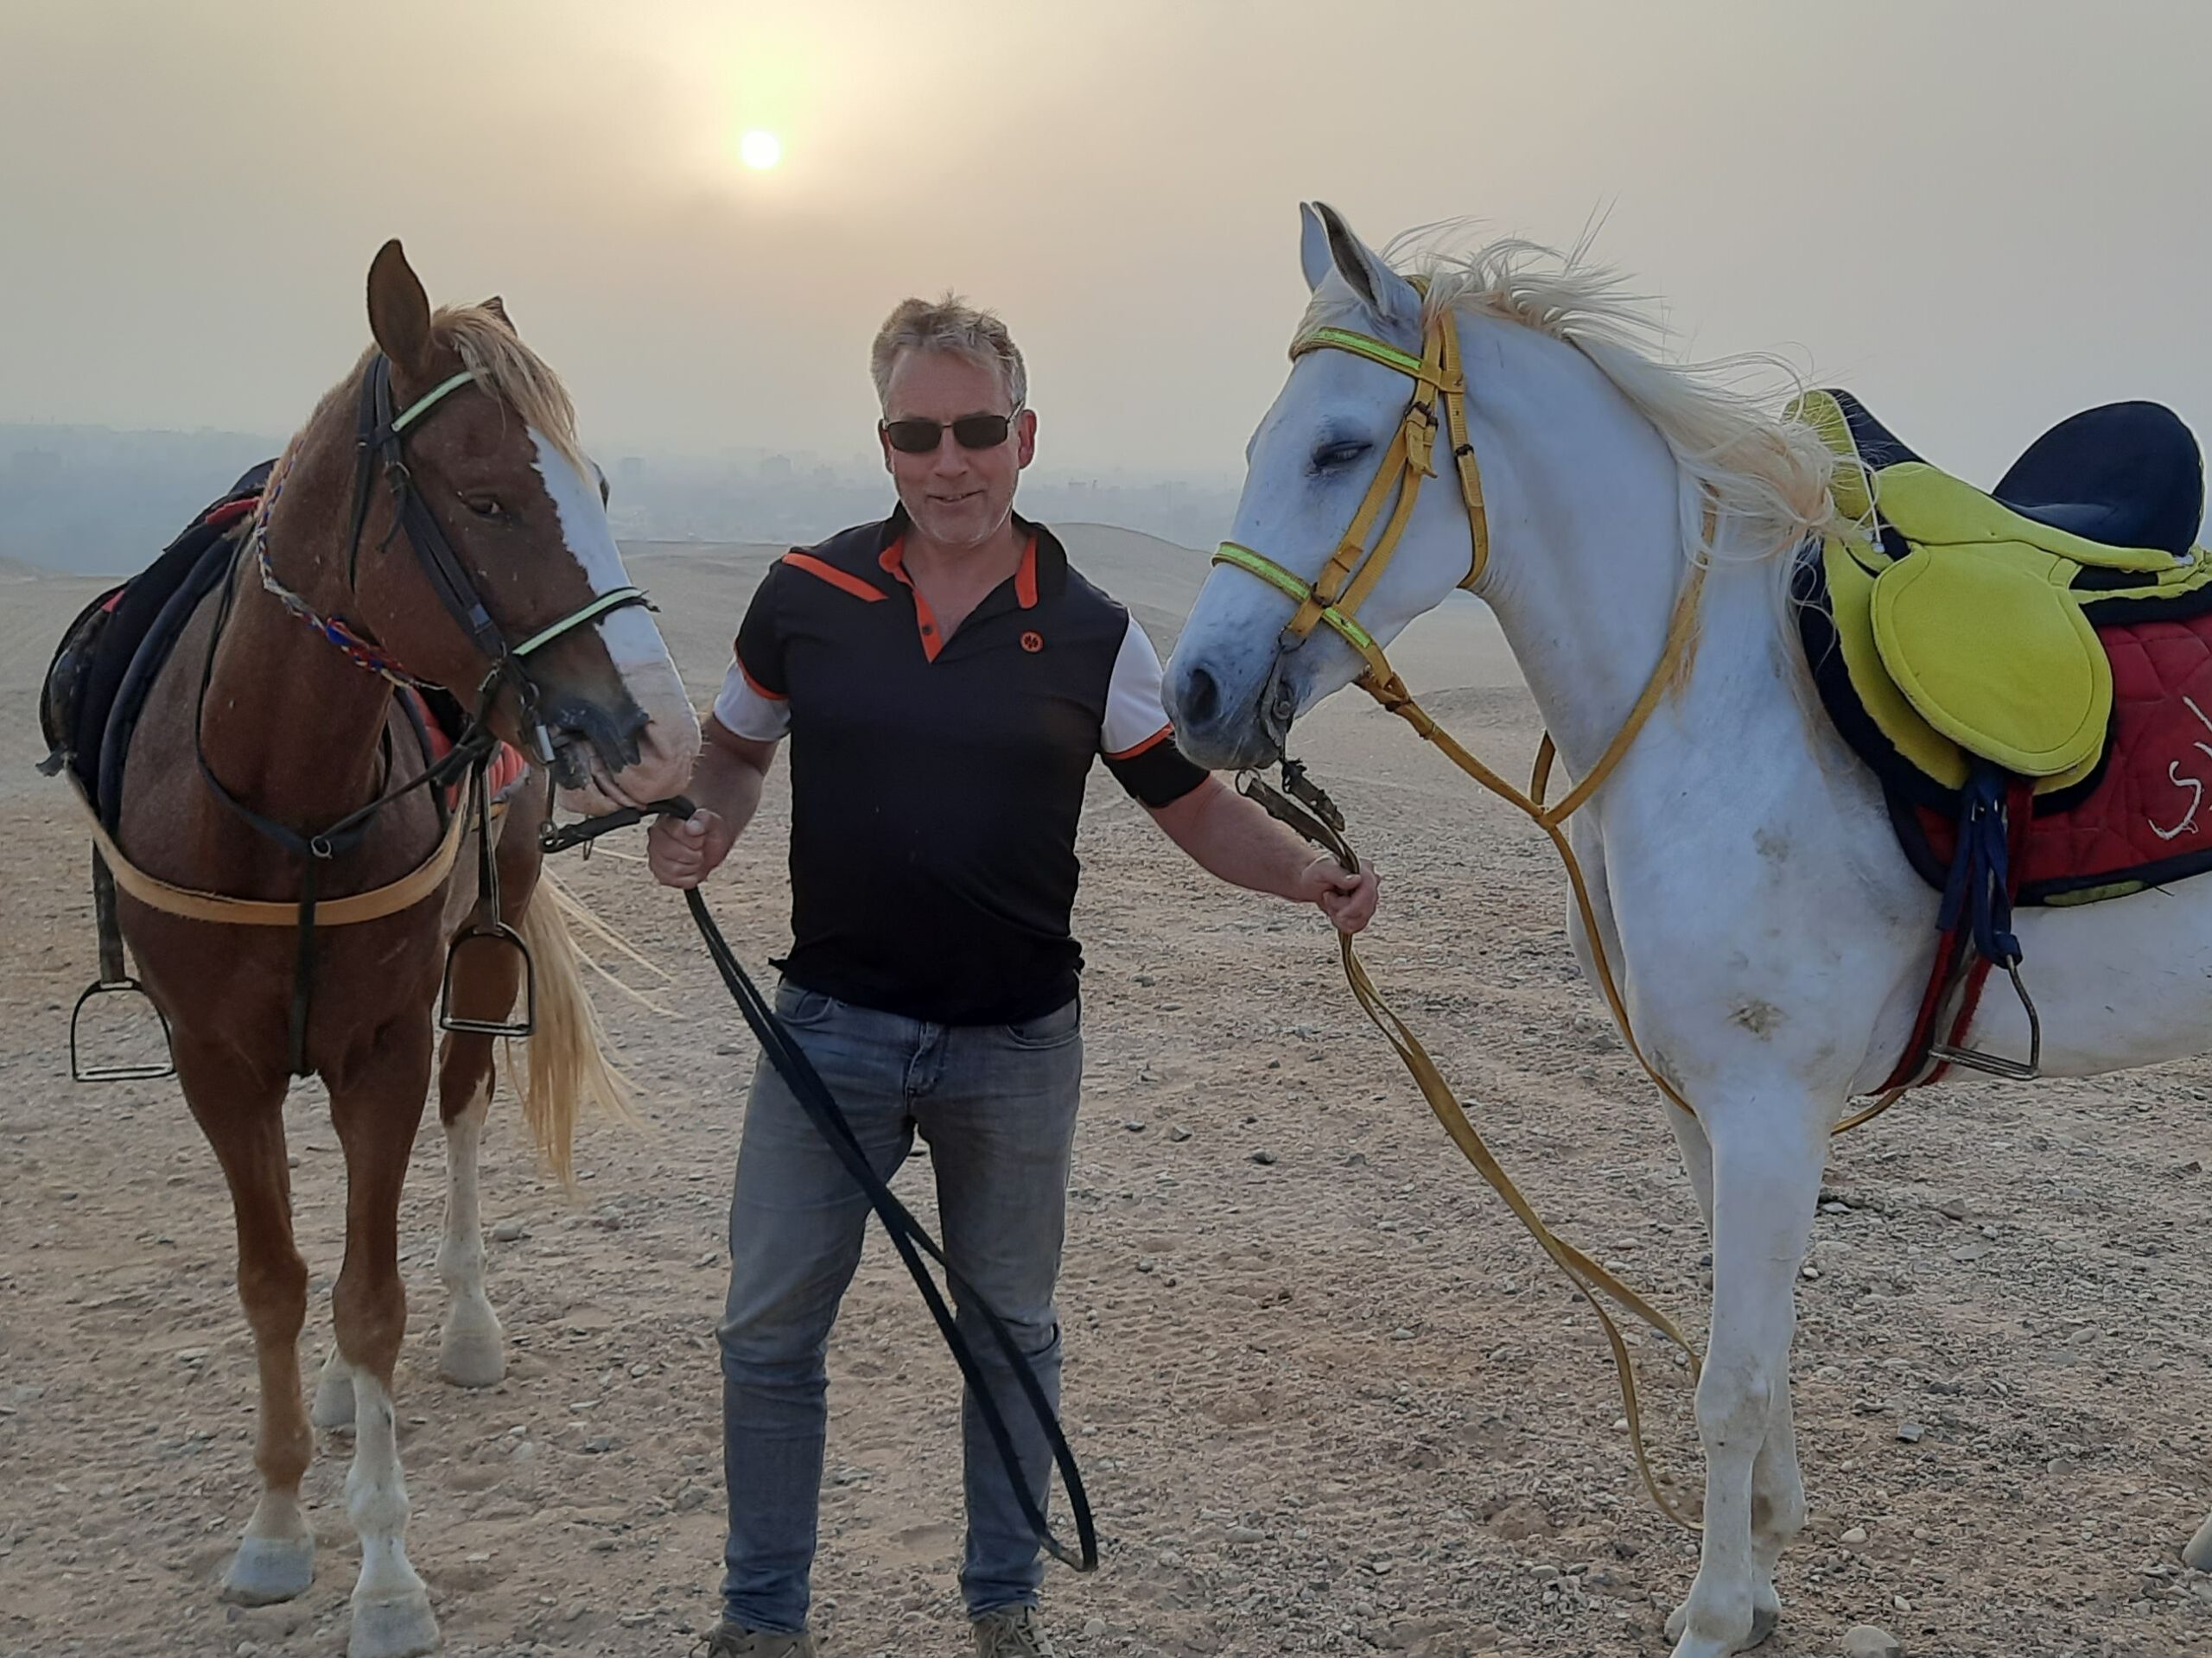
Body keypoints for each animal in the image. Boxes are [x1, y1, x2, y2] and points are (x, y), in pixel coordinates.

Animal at [54, 242, 700, 1658]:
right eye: (490, 497)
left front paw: (389, 1576)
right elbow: (275, 1282)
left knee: (460, 1119)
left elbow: (370, 1295)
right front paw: (276, 1530)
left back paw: (463, 1328)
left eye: (600, 487)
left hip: (483, 946)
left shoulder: (384, 1045)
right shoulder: (217, 1062)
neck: (280, 799)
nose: (663, 732)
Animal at [1162, 202, 2212, 1658]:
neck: (1720, 707)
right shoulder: (1704, 1107)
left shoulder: (1771, 1108)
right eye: (1267, 443)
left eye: (1339, 447)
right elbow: (1755, 1348)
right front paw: (1762, 1561)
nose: (1194, 694)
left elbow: (1730, 1376)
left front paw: (1716, 1612)